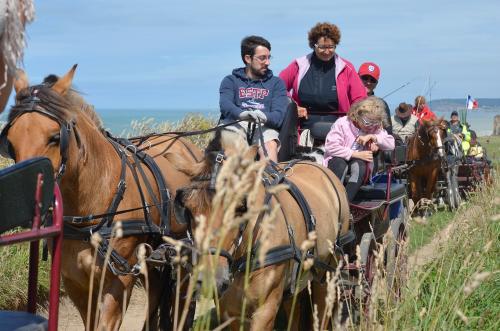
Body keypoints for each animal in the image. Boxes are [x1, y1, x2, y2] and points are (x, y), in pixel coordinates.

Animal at [0, 66, 203, 330]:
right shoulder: (75, 281)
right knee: (157, 290)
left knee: (183, 297)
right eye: (11, 141)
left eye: (55, 137)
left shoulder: (120, 280)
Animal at [170, 130, 350, 331]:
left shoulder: (266, 310)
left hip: (328, 271)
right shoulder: (230, 311)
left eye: (240, 207)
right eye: (188, 209)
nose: (210, 279)